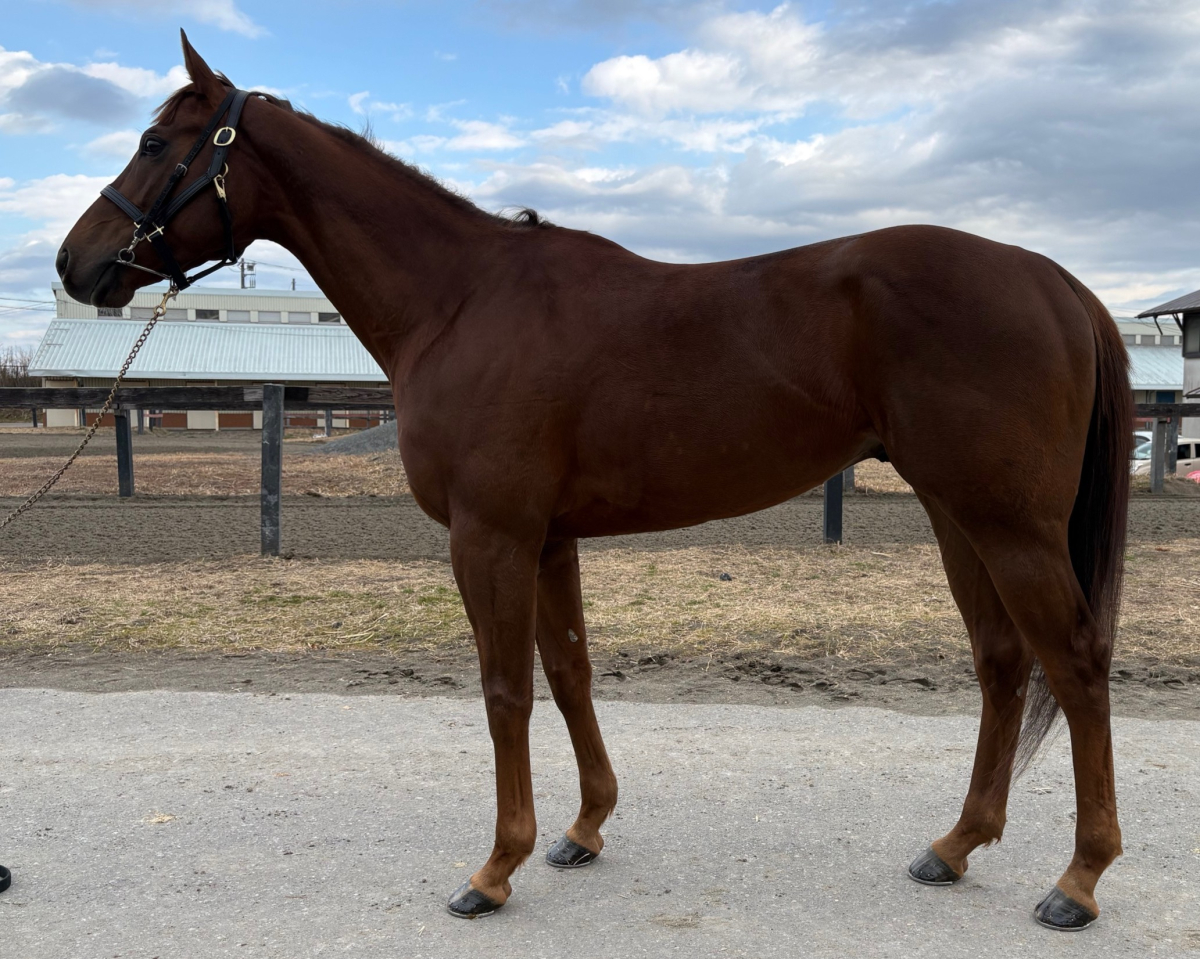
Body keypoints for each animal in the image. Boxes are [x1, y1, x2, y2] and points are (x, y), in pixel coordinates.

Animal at [56, 33, 1132, 929]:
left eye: (156, 141)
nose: (75, 263)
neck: (460, 299)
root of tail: (1057, 281)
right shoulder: (549, 537)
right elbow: (569, 670)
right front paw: (582, 828)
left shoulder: (489, 534)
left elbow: (505, 690)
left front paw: (495, 867)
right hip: (959, 515)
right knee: (1003, 661)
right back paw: (954, 845)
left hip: (1010, 525)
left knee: (1075, 662)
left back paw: (1078, 880)